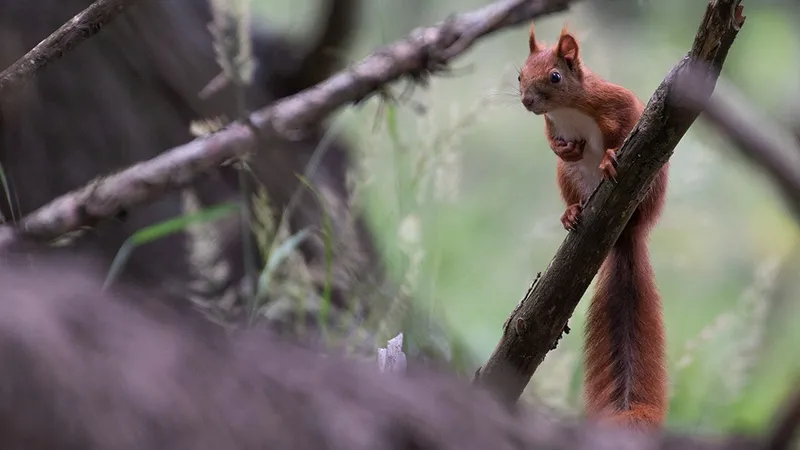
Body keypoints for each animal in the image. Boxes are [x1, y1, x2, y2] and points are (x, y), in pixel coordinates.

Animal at [520, 23, 668, 428]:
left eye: (555, 76)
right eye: (519, 75)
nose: (526, 101)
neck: (566, 110)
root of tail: (625, 231)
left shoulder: (615, 100)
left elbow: (627, 121)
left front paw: (610, 155)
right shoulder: (552, 125)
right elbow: (551, 140)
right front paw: (564, 147)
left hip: (651, 187)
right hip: (567, 177)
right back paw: (572, 212)